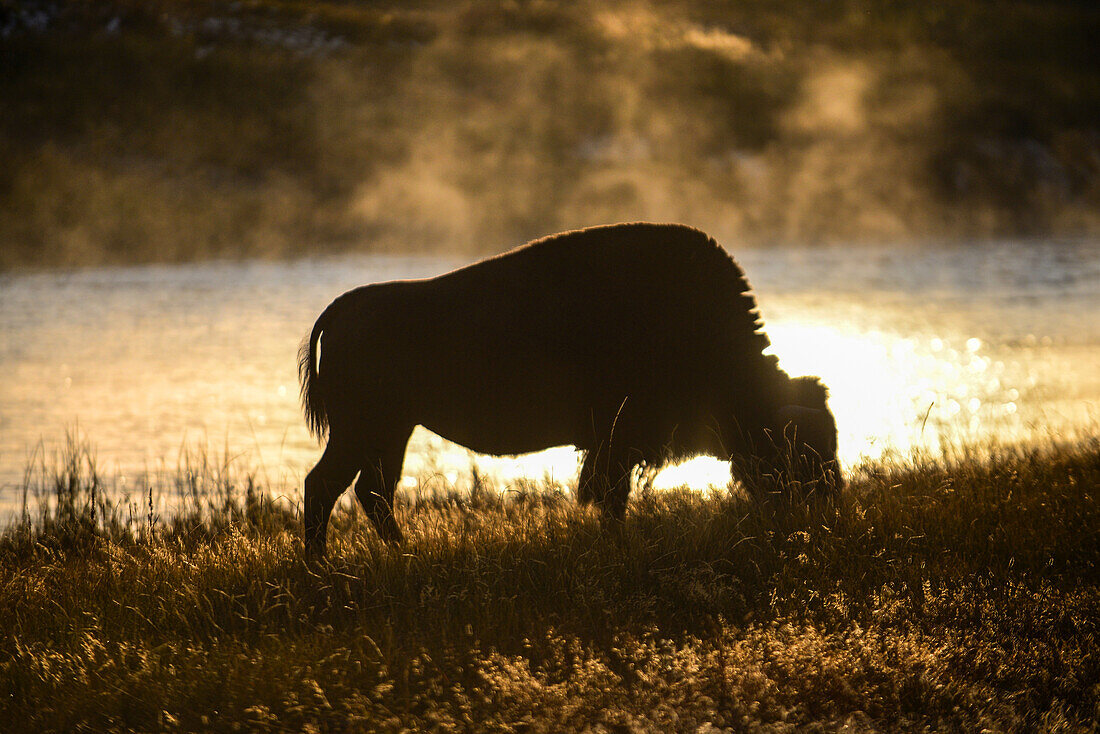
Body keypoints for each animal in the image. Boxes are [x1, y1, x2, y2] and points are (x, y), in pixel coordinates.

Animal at [297, 224, 836, 556]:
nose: (828, 499)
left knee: (372, 492)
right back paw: (322, 565)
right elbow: (610, 497)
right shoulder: (615, 442)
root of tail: (346, 308)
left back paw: (402, 552)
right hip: (363, 429)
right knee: (325, 485)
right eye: (799, 447)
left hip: (392, 430)